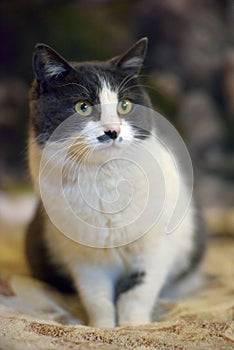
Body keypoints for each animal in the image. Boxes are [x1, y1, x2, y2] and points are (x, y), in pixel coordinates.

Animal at [24, 38, 206, 328]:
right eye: (83, 106)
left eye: (125, 105)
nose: (112, 131)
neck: (106, 183)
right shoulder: (85, 260)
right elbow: (97, 297)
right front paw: (103, 328)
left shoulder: (154, 248)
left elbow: (138, 292)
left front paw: (134, 327)